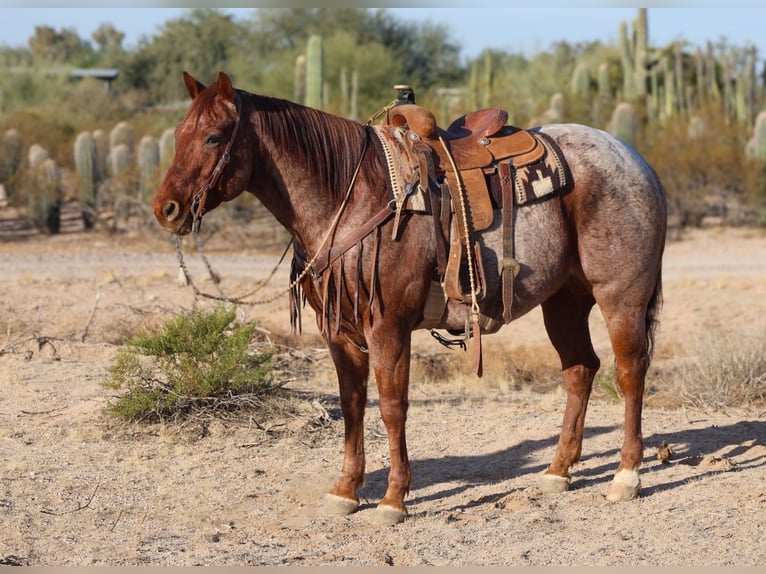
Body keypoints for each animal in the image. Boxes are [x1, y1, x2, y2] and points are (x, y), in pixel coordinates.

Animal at [152, 72, 664, 528]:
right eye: (178, 135)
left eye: (214, 137)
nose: (166, 209)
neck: (351, 196)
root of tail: (637, 159)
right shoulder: (339, 332)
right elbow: (352, 404)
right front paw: (346, 491)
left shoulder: (388, 327)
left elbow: (392, 407)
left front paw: (393, 499)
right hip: (563, 302)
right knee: (580, 370)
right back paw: (559, 471)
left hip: (621, 297)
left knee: (629, 371)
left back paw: (626, 475)